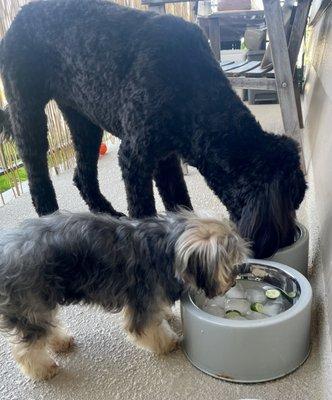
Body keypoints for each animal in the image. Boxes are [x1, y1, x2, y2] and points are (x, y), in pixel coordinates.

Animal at [0, 0, 306, 256]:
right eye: (290, 201)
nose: (288, 240)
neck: (194, 89)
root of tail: (19, 18)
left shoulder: (165, 157)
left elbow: (179, 199)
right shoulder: (134, 157)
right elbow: (144, 208)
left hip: (83, 119)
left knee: (82, 174)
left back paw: (106, 212)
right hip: (27, 110)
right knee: (37, 175)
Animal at [0, 211, 246, 380]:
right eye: (227, 263)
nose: (233, 281)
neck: (167, 248)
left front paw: (167, 314)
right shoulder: (142, 301)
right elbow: (149, 328)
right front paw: (167, 343)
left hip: (41, 302)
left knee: (46, 327)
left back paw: (61, 342)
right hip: (30, 303)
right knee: (27, 347)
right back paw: (43, 369)